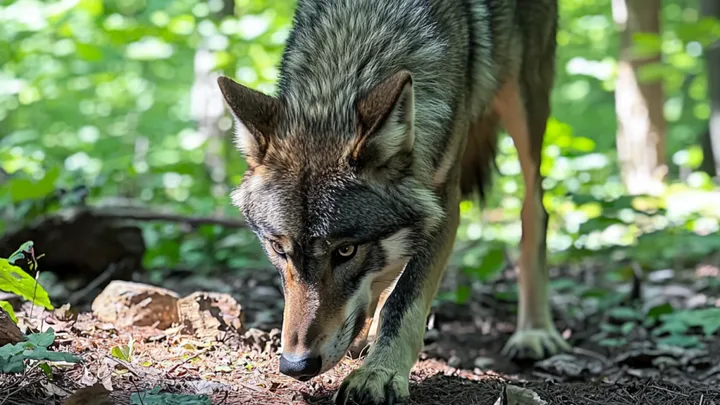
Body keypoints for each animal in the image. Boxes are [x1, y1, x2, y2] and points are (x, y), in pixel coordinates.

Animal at [217, 0, 567, 403]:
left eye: (346, 251)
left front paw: (379, 374)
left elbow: (404, 299)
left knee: (535, 209)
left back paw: (534, 332)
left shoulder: (443, 201)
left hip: (525, 101)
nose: (295, 365)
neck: (358, 41)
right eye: (279, 249)